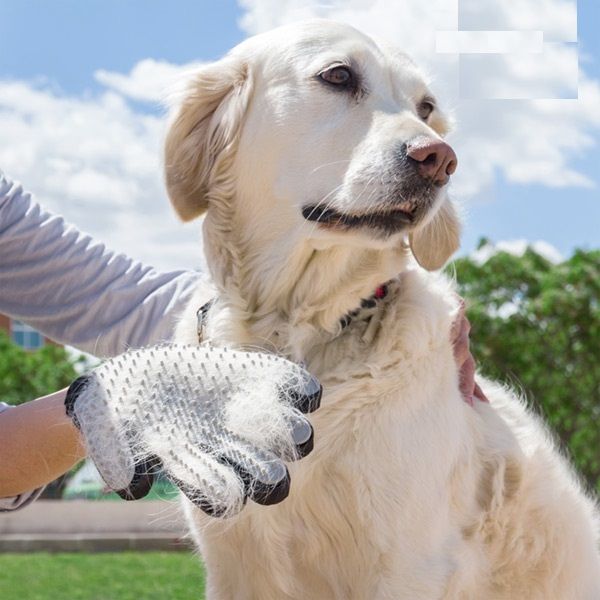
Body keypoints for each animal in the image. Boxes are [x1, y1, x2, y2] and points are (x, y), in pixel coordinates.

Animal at [164, 18, 600, 600]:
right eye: (338, 75)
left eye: (427, 107)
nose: (440, 159)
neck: (296, 329)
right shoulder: (233, 564)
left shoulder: (407, 564)